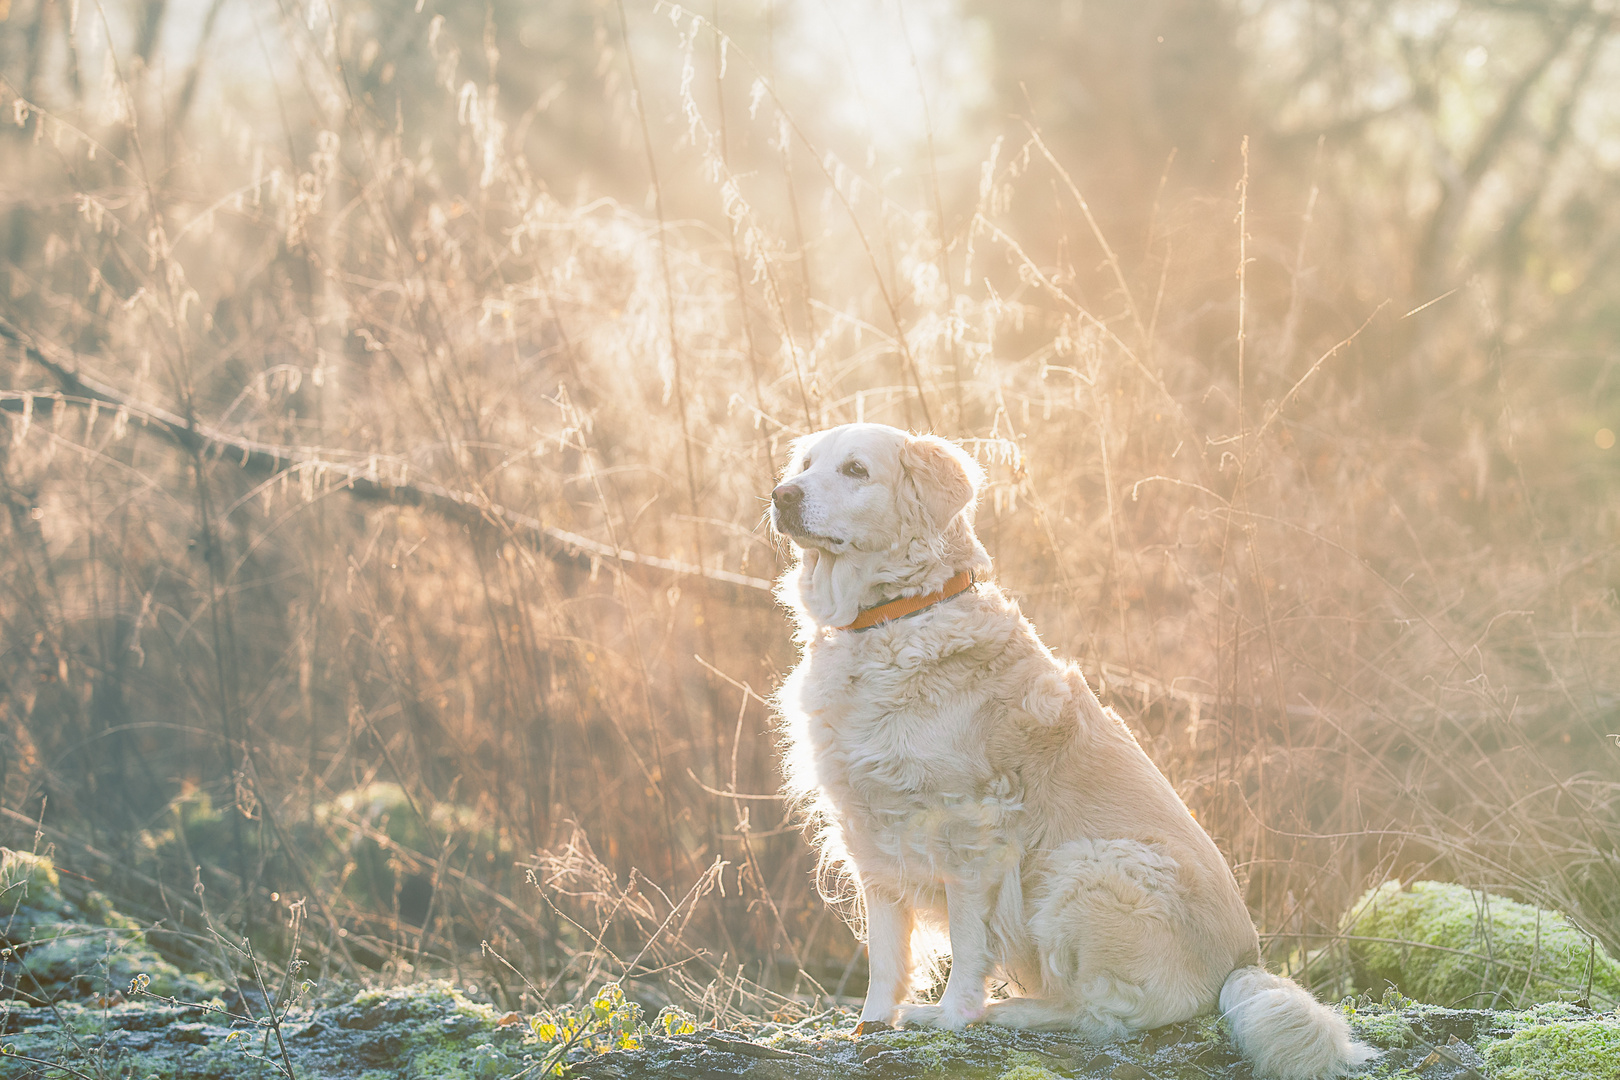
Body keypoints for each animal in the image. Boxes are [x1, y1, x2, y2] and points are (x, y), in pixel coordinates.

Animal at [764, 424, 1373, 1080]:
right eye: (805, 464)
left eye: (855, 470)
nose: (781, 495)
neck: (889, 619)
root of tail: (1244, 962)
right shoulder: (868, 828)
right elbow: (884, 950)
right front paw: (870, 1025)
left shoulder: (969, 829)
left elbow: (967, 941)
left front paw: (950, 1017)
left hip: (1086, 866)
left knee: (1105, 1016)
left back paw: (1005, 1013)